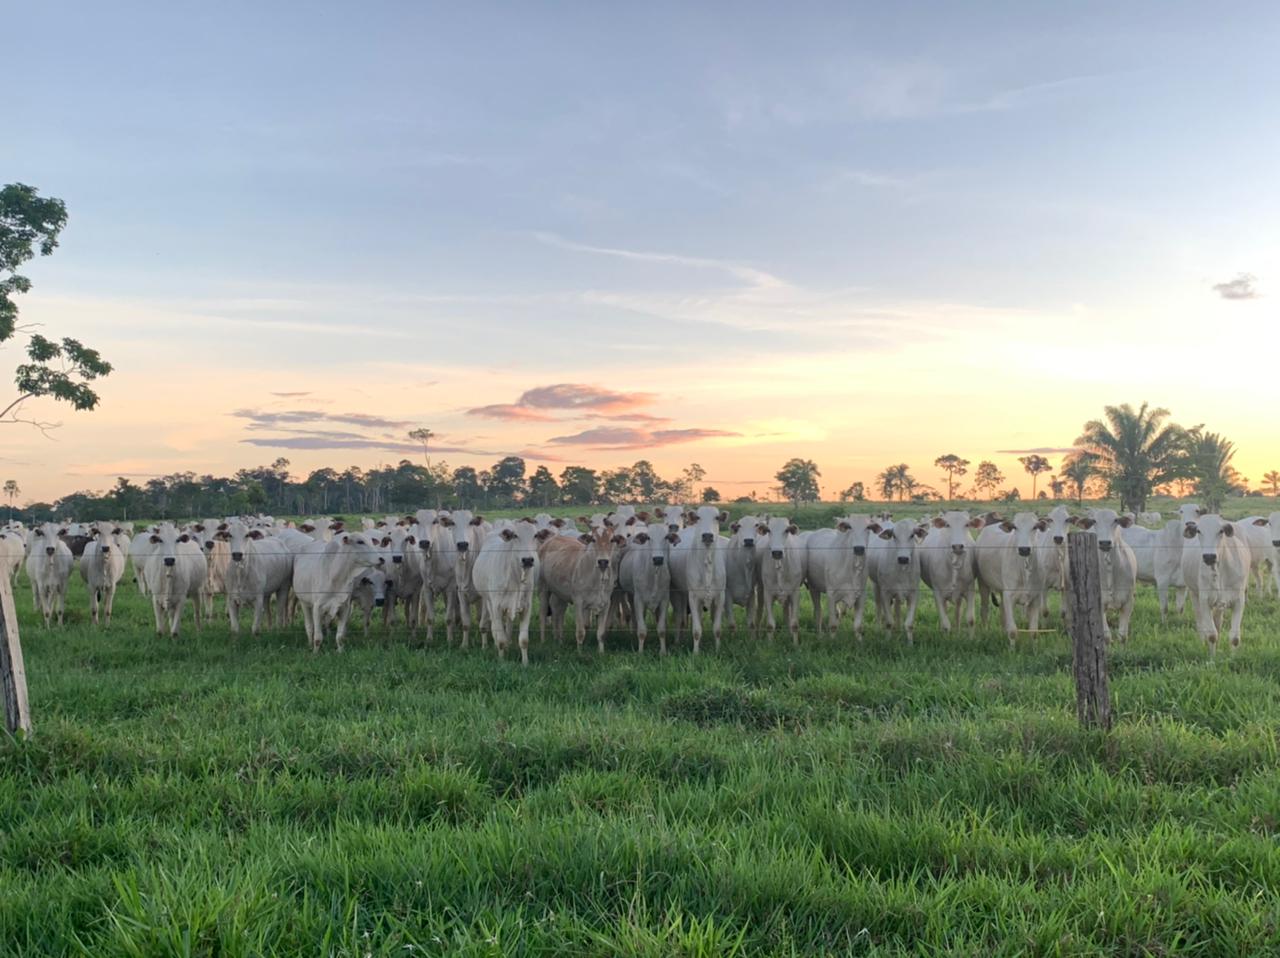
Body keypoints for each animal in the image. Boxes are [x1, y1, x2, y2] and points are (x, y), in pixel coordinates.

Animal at [1177, 517, 1249, 650]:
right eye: (1199, 531)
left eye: (1221, 531)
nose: (1209, 556)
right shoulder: (1205, 600)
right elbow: (1211, 635)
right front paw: (1211, 654)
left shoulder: (1239, 601)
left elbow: (1235, 638)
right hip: (1194, 594)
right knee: (1200, 622)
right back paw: (1201, 642)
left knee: (1218, 621)